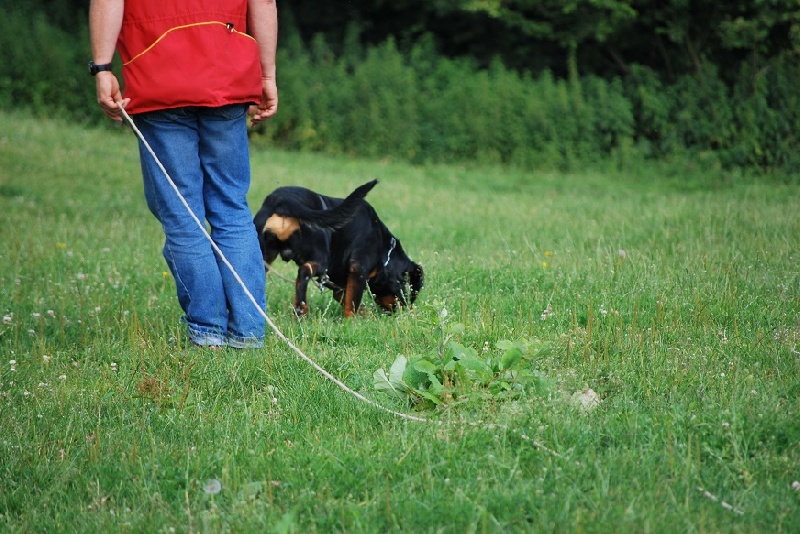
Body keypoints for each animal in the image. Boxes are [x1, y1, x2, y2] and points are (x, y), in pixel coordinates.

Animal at [255, 181, 424, 318]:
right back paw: (301, 309)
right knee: (304, 272)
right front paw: (352, 322)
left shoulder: (340, 283)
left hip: (263, 255)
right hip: (321, 259)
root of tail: (283, 200)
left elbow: (348, 299)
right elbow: (353, 303)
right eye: (408, 288)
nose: (406, 311)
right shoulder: (359, 270)